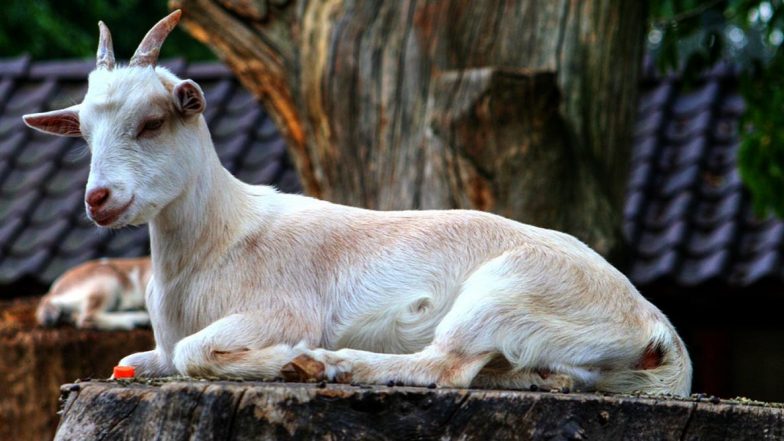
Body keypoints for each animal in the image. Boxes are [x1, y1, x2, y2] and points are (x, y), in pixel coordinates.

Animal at [23, 11, 692, 395]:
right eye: (83, 134)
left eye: (153, 122)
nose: (99, 199)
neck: (220, 239)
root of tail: (656, 326)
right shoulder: (156, 346)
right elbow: (132, 362)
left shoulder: (280, 308)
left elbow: (194, 353)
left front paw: (284, 358)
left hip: (508, 290)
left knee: (444, 365)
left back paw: (325, 365)